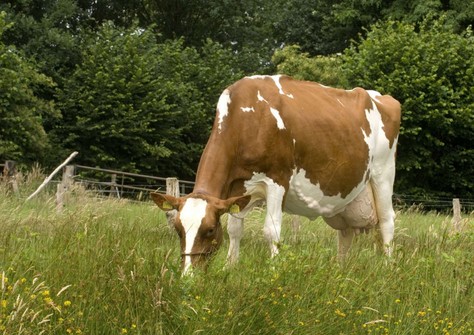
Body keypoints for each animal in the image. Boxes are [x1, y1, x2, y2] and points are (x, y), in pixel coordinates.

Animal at [151, 76, 400, 276]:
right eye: (178, 229)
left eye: (210, 229)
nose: (188, 276)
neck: (248, 118)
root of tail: (380, 96)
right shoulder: (238, 190)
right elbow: (234, 230)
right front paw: (230, 267)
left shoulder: (276, 181)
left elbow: (271, 232)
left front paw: (273, 271)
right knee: (346, 232)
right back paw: (341, 270)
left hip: (383, 173)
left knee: (386, 222)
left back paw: (387, 268)